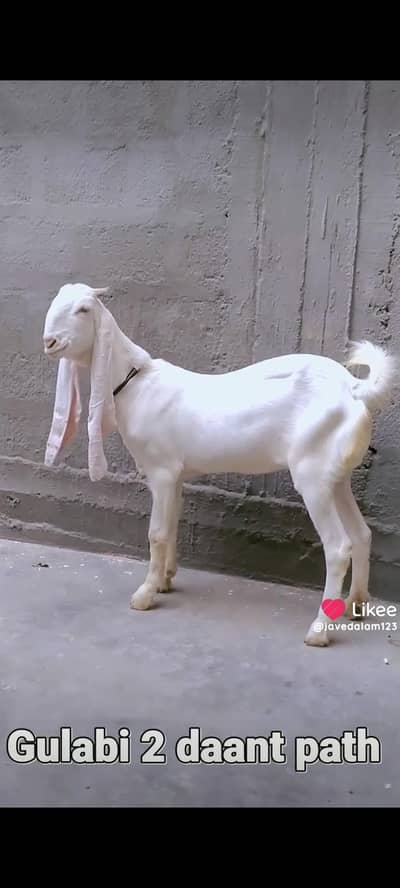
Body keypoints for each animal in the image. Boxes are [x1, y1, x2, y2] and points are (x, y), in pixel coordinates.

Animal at [42, 283, 397, 647]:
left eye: (83, 310)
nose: (50, 342)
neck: (137, 383)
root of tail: (355, 390)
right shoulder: (176, 476)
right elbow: (172, 525)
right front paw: (166, 580)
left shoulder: (161, 472)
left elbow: (157, 533)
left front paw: (145, 594)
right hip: (334, 476)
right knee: (361, 534)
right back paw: (355, 605)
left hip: (312, 476)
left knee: (339, 547)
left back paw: (319, 629)